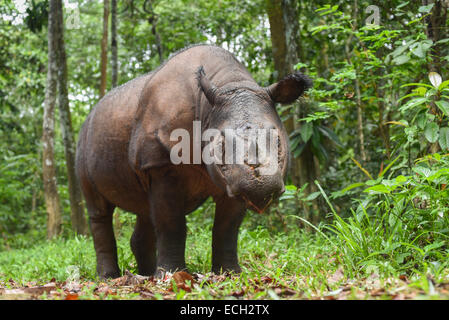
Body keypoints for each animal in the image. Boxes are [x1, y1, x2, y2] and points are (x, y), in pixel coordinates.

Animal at [75, 43, 310, 278]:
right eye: (221, 144)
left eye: (278, 141)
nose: (260, 186)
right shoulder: (161, 165)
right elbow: (172, 224)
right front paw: (171, 275)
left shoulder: (233, 182)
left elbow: (227, 228)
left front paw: (230, 273)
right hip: (85, 139)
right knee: (99, 210)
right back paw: (109, 277)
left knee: (144, 209)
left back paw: (146, 275)